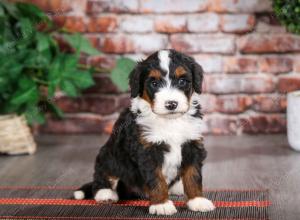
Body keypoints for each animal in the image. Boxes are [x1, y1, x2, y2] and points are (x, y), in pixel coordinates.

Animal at [75, 49, 216, 215]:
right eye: (154, 83)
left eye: (182, 81)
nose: (171, 104)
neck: (170, 121)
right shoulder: (147, 149)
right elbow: (156, 179)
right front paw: (161, 204)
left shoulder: (192, 144)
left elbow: (193, 175)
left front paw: (197, 200)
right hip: (109, 155)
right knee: (104, 176)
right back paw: (106, 193)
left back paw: (177, 187)